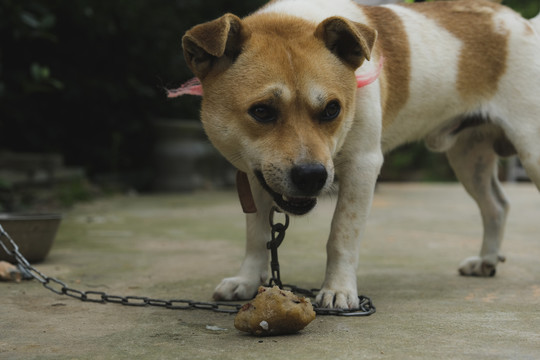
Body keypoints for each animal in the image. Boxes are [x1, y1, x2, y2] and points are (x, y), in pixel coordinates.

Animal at [178, 0, 540, 310]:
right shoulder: (254, 174)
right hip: (469, 157)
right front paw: (248, 281)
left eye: (332, 109)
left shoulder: (362, 166)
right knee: (496, 206)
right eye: (262, 111)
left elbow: (341, 234)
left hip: (530, 152)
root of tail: (525, 24)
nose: (312, 176)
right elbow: (257, 236)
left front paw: (338, 289)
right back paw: (487, 260)